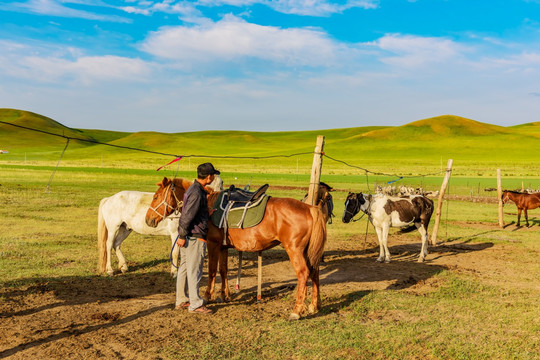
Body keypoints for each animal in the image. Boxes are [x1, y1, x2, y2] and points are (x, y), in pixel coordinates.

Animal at [144, 181, 330, 320]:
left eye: (155, 196)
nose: (148, 220)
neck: (208, 205)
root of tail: (310, 208)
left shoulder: (212, 244)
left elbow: (212, 270)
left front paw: (208, 296)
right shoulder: (223, 247)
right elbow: (224, 270)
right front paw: (225, 295)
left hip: (294, 250)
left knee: (303, 273)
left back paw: (297, 311)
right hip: (308, 252)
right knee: (314, 272)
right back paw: (314, 305)